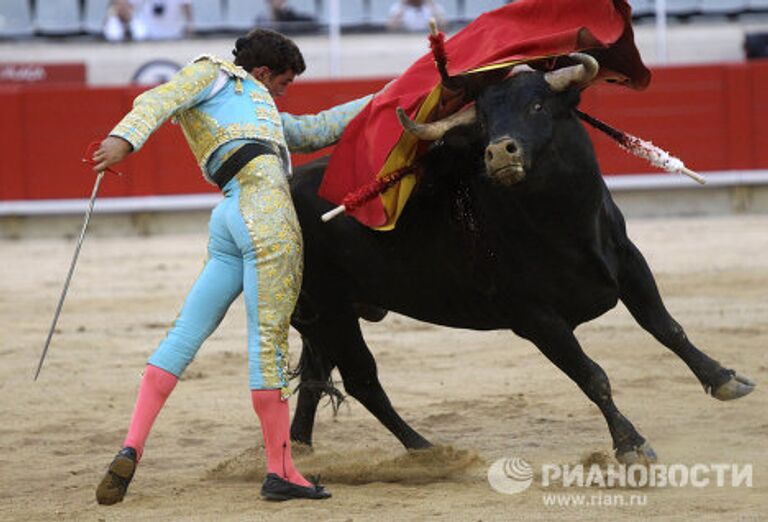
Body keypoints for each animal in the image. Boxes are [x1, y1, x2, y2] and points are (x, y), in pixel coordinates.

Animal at [284, 54, 752, 462]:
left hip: (326, 316)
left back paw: (302, 446)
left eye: (537, 105)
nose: (499, 152)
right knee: (362, 380)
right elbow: (592, 375)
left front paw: (725, 379)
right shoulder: (534, 317)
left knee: (316, 376)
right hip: (332, 310)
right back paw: (426, 451)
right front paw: (630, 444)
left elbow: (667, 327)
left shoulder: (629, 262)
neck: (566, 223)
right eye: (484, 121)